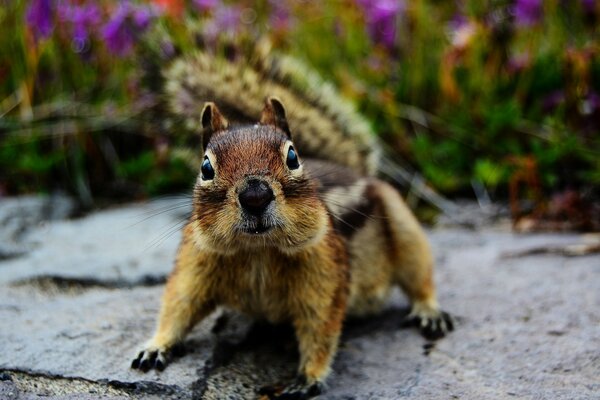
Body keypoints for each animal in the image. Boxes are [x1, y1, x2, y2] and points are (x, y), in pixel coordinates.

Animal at [130, 48, 450, 398]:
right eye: (206, 167)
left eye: (293, 157)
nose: (255, 195)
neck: (258, 251)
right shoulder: (195, 262)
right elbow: (178, 305)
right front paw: (156, 345)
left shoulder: (323, 276)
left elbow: (320, 328)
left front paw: (309, 377)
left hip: (405, 231)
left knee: (419, 277)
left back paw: (429, 312)